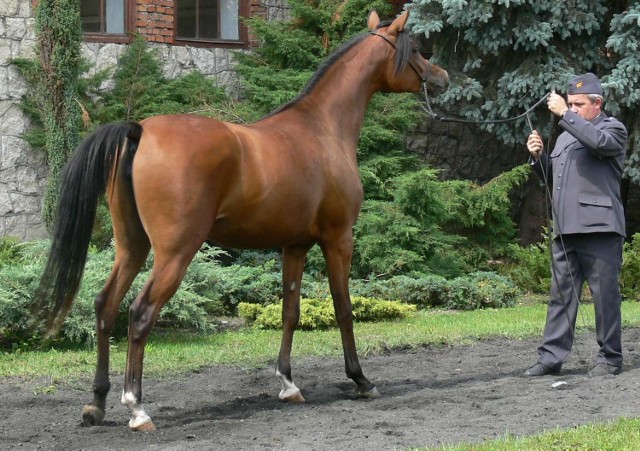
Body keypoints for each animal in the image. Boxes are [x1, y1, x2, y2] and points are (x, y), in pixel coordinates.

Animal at [36, 10, 450, 432]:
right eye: (418, 49)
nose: (443, 77)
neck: (322, 129)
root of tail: (139, 131)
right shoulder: (338, 239)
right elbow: (344, 308)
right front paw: (361, 380)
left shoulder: (295, 245)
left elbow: (290, 311)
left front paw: (288, 384)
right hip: (175, 253)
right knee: (140, 313)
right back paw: (136, 408)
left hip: (131, 247)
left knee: (105, 306)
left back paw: (97, 404)